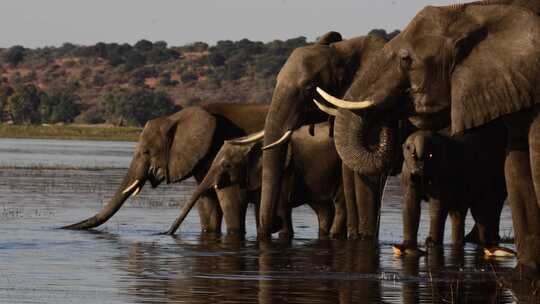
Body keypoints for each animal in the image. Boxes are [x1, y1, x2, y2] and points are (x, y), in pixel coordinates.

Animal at [165, 122, 348, 239]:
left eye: (227, 165)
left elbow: (281, 209)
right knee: (323, 209)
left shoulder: (285, 172)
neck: (252, 142)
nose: (165, 233)